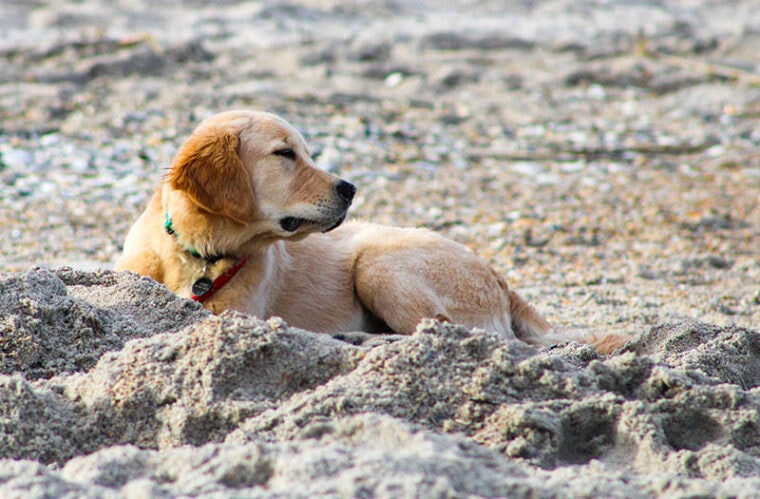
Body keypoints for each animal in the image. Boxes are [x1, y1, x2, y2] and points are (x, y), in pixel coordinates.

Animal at [117, 111, 628, 354]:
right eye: (285, 154)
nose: (350, 188)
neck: (197, 253)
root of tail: (499, 277)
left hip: (380, 265)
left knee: (442, 332)